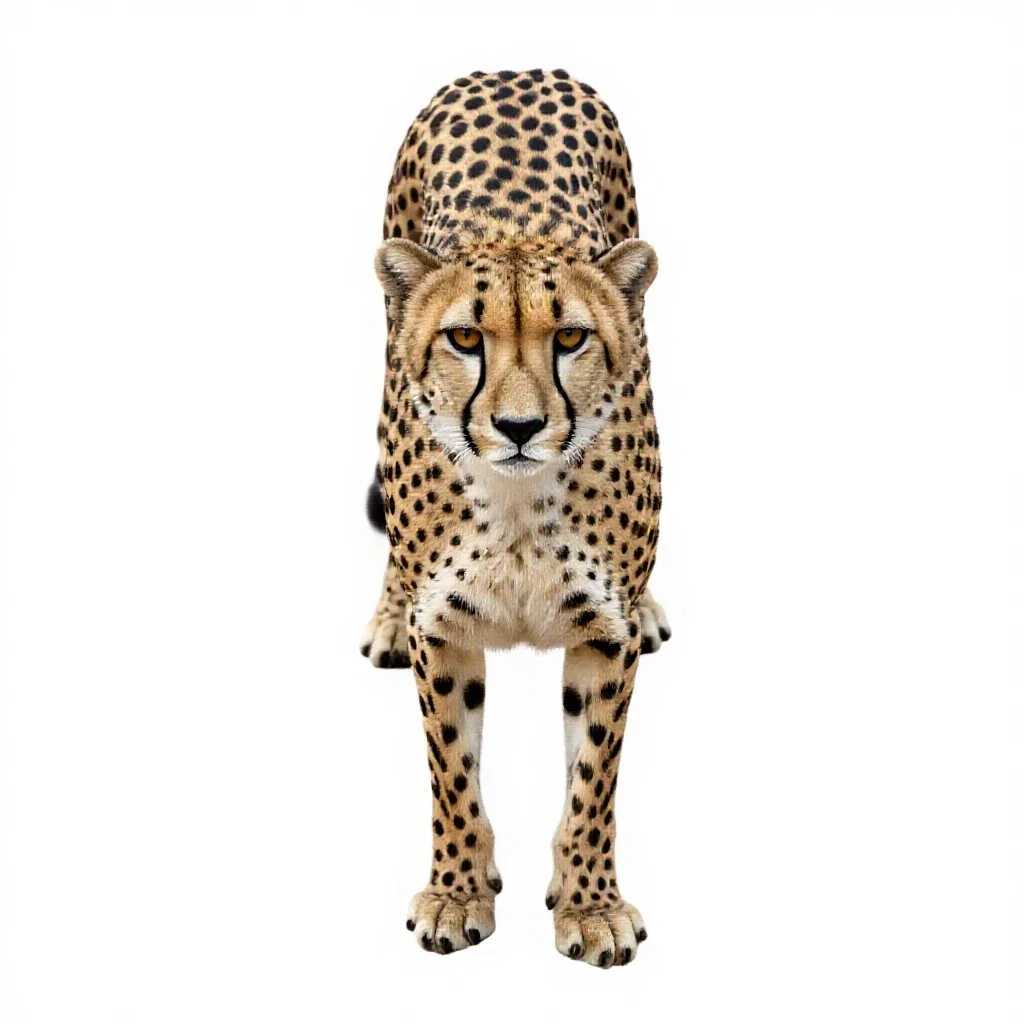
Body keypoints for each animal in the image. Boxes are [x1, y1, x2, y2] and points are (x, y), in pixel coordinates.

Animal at [360, 69, 671, 968]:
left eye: (570, 338)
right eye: (466, 337)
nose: (522, 426)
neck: (519, 510)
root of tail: (515, 66)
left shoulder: (603, 637)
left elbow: (594, 778)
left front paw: (590, 902)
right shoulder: (443, 631)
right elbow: (452, 771)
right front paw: (458, 891)